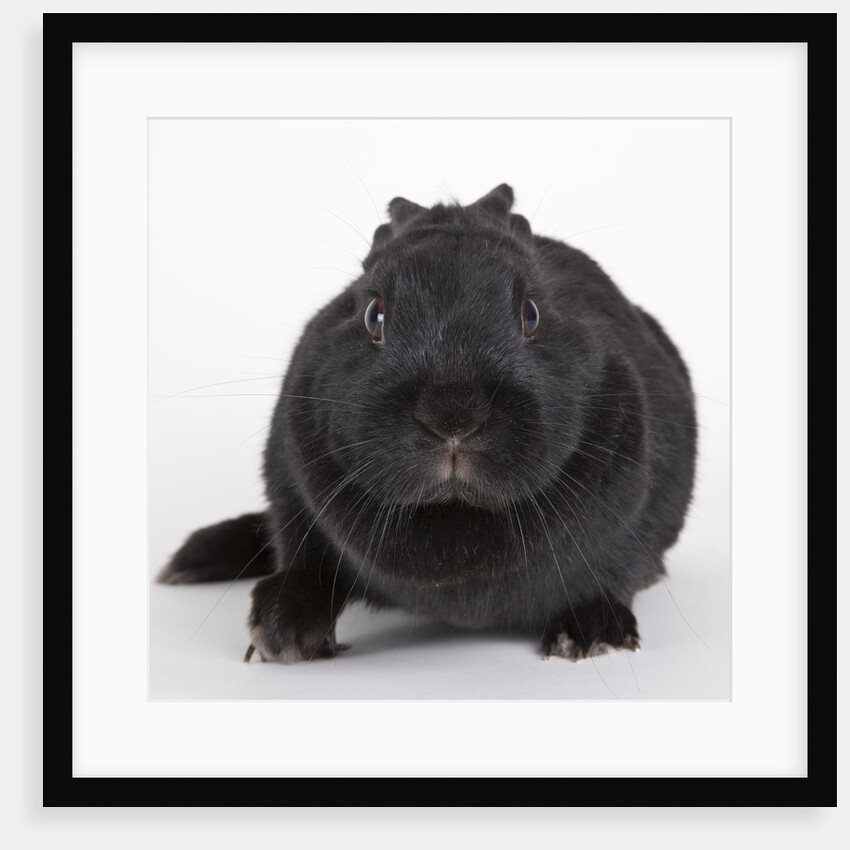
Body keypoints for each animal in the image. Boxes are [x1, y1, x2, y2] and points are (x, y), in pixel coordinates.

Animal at [157, 183, 697, 664]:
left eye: (532, 313)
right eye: (373, 315)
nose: (452, 414)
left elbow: (611, 570)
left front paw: (591, 635)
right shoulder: (293, 496)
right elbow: (308, 562)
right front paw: (281, 634)